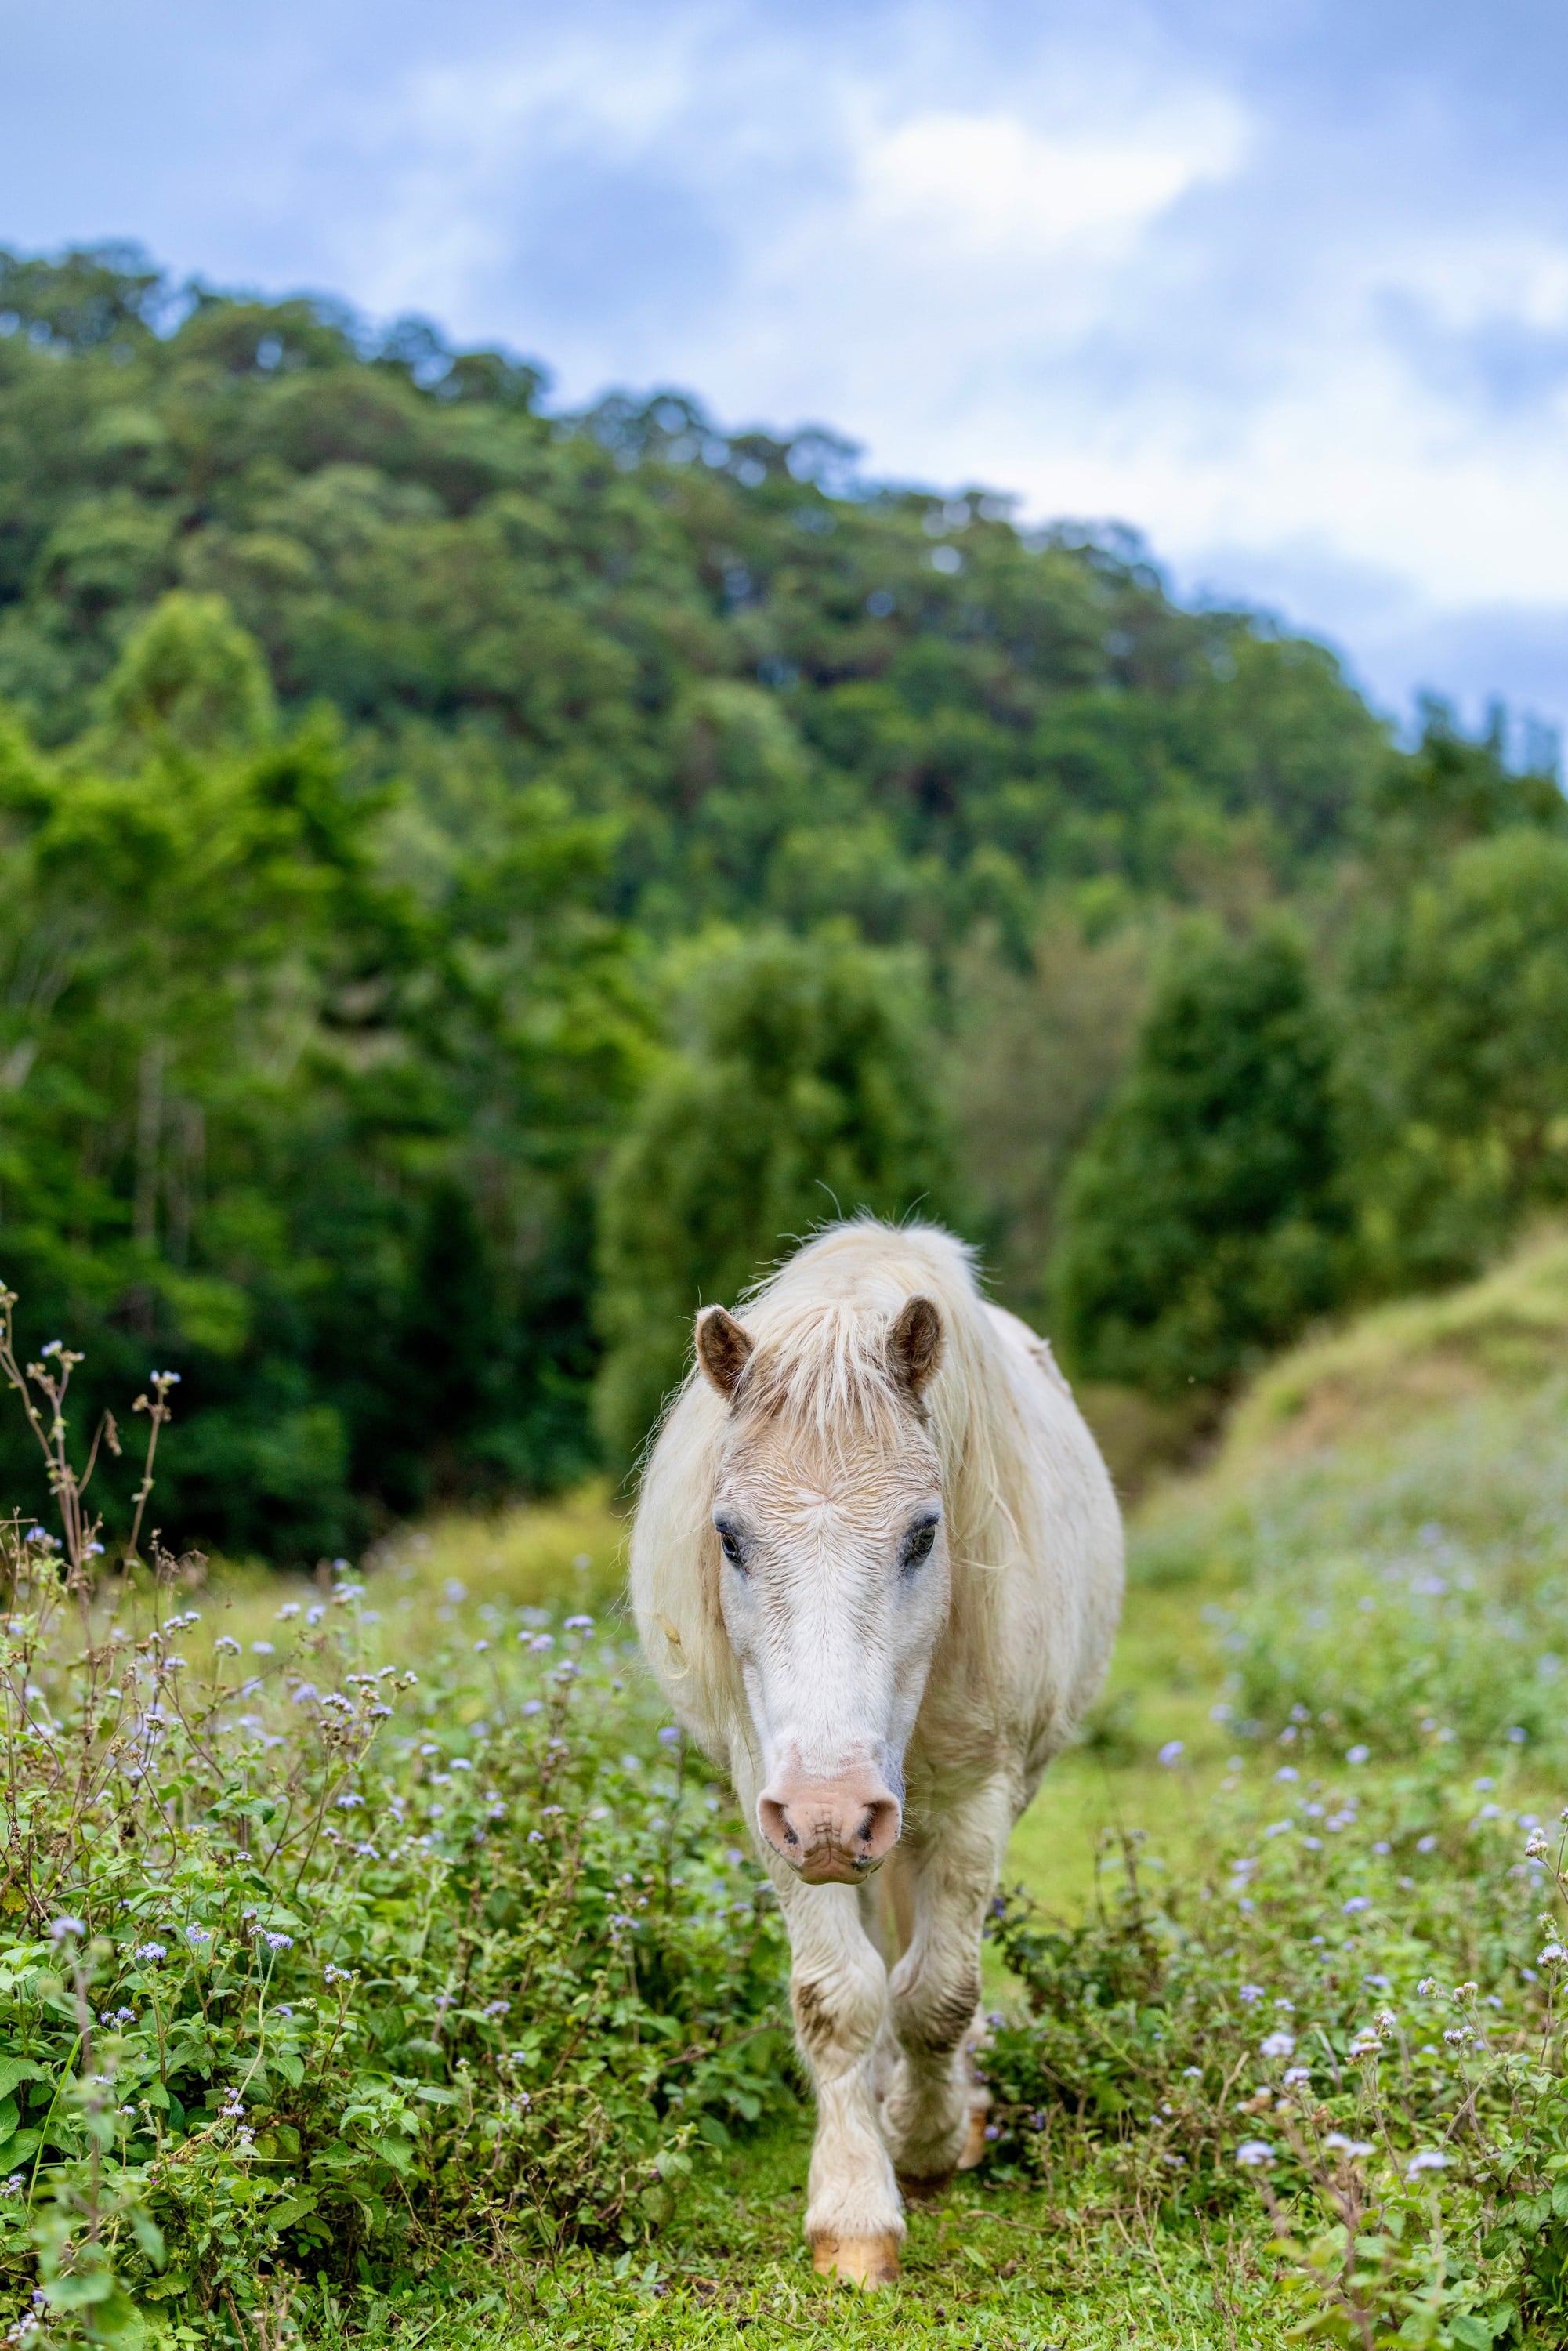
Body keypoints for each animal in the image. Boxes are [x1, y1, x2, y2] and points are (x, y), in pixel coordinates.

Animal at [629, 1218, 1123, 2287]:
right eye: (730, 1538)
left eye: (923, 1535)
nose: (831, 1810)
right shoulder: (774, 1803)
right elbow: (839, 1998)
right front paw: (855, 2211)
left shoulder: (976, 1798)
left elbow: (938, 1994)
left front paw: (931, 2144)